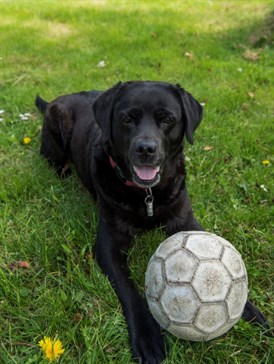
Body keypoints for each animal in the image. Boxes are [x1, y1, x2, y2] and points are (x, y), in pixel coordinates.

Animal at [35, 82, 268, 364]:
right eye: (127, 119)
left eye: (167, 120)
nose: (146, 149)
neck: (147, 195)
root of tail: (54, 101)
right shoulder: (108, 246)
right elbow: (129, 290)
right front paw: (147, 337)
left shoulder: (185, 220)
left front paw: (248, 309)